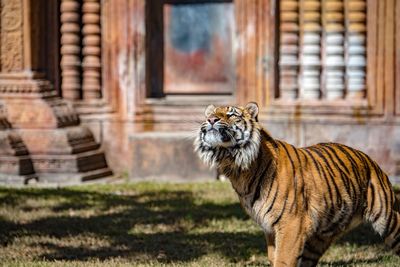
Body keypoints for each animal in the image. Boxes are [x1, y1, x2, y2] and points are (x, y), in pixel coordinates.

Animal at [195, 102, 400, 267]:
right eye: (210, 115)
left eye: (231, 114)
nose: (211, 119)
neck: (238, 168)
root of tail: (371, 160)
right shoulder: (270, 228)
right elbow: (274, 257)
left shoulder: (291, 224)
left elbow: (283, 260)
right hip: (320, 237)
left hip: (386, 216)